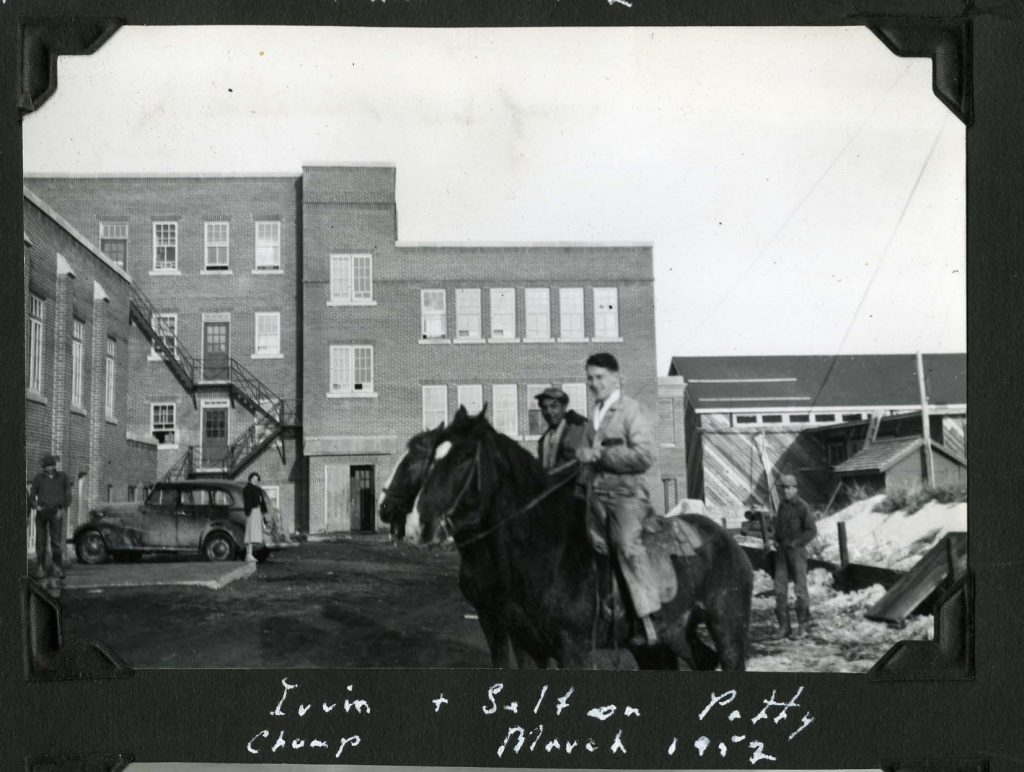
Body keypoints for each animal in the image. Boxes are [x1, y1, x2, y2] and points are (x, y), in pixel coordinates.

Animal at [411, 403, 757, 667]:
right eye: (431, 458)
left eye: (462, 458)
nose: (419, 522)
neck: (545, 550)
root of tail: (729, 541)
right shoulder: (525, 643)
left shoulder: (572, 648)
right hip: (667, 637)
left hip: (727, 625)